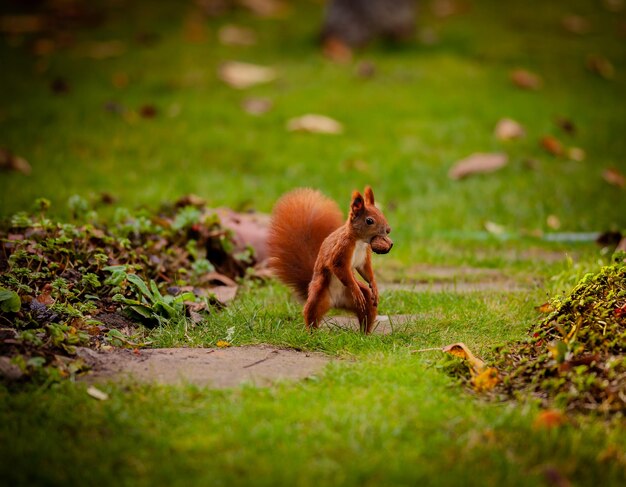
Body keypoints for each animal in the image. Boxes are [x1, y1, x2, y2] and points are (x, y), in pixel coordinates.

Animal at [266, 188, 390, 336]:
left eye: (381, 213)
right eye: (369, 221)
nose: (388, 229)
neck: (359, 241)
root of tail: (336, 302)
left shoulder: (364, 257)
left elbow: (366, 271)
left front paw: (375, 287)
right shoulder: (341, 250)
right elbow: (338, 267)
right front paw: (355, 290)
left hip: (364, 301)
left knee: (367, 311)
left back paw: (364, 334)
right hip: (318, 294)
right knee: (311, 314)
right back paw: (312, 334)